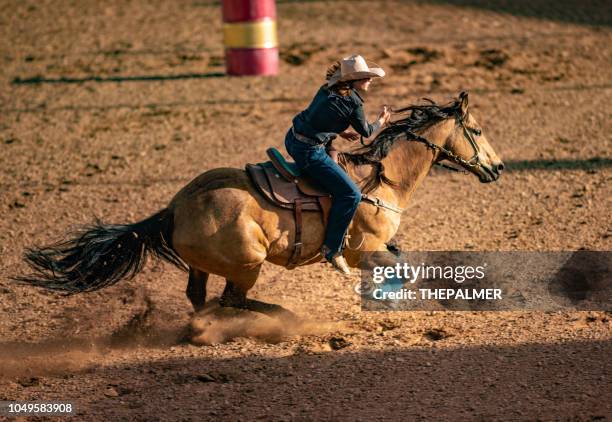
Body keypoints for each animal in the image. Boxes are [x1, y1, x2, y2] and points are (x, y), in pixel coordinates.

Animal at [16, 90, 502, 318]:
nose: (497, 168)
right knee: (232, 300)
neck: (380, 183)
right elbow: (398, 270)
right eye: (477, 130)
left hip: (207, 266)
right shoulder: (364, 250)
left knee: (200, 297)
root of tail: (174, 208)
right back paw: (281, 317)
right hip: (248, 265)